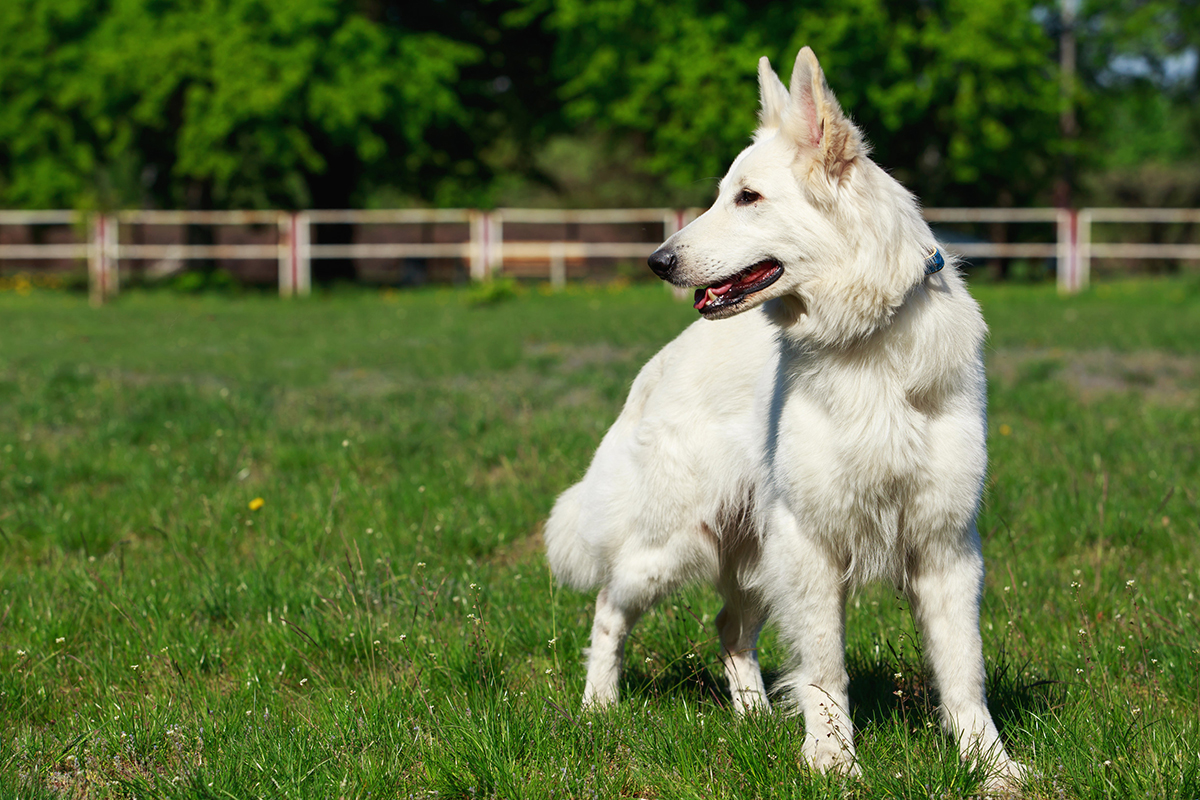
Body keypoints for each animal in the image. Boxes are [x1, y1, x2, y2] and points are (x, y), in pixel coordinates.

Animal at [544, 47, 1022, 791]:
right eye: (722, 194)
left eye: (748, 197)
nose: (657, 262)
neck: (866, 341)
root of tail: (659, 365)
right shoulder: (811, 541)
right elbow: (826, 669)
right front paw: (832, 760)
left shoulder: (944, 545)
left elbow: (962, 669)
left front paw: (989, 765)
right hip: (670, 547)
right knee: (608, 611)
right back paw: (599, 706)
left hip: (757, 556)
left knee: (728, 627)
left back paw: (753, 714)